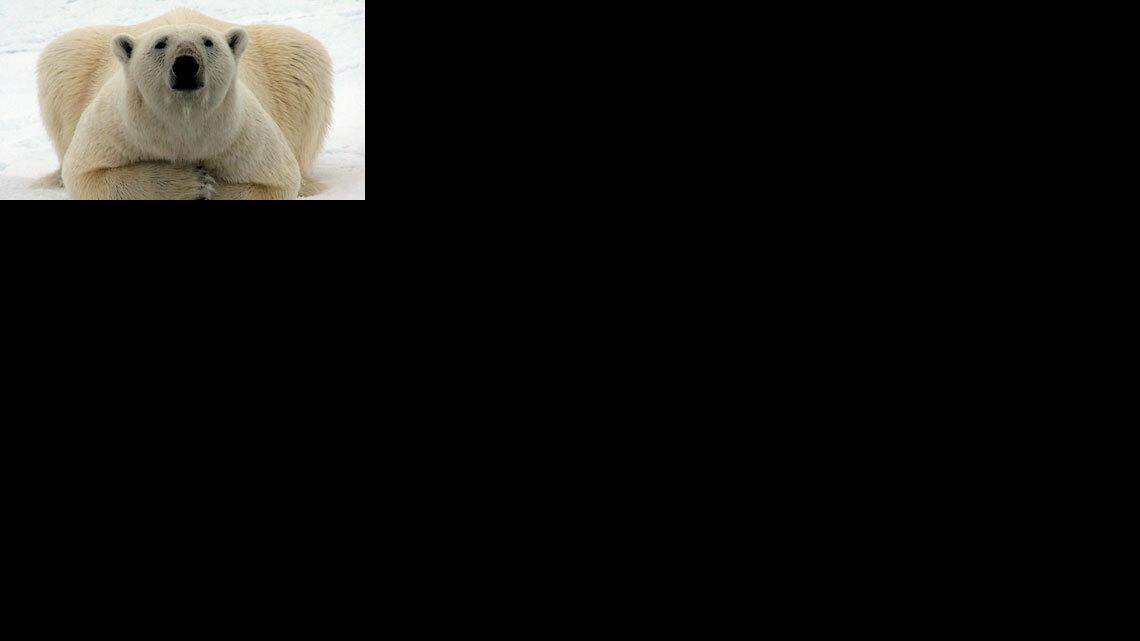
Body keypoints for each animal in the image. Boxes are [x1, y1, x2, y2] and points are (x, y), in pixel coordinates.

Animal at [36, 8, 333, 199]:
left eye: (208, 42)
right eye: (160, 43)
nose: (186, 64)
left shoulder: (243, 136)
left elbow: (276, 181)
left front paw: (212, 185)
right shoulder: (116, 128)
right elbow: (88, 175)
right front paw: (192, 183)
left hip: (287, 61)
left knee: (303, 56)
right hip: (78, 59)